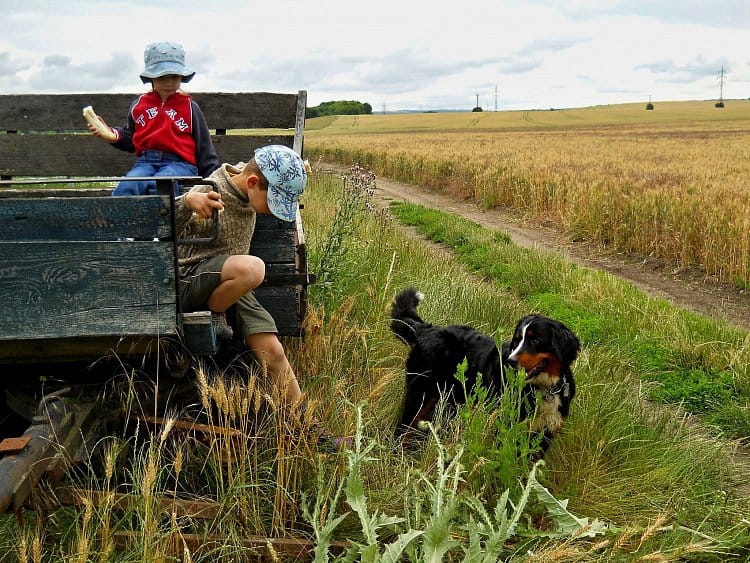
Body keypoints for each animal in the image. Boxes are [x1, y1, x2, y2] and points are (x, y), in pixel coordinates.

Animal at [394, 288, 580, 456]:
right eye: (517, 340)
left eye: (535, 340)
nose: (510, 361)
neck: (545, 388)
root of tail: (426, 329)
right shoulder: (506, 426)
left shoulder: (544, 434)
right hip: (420, 394)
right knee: (403, 430)